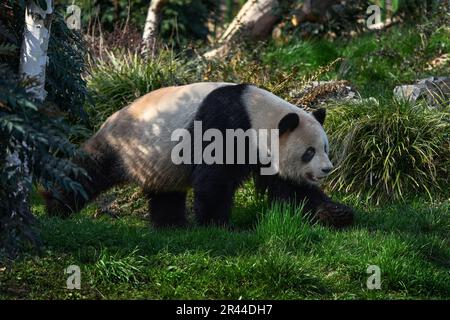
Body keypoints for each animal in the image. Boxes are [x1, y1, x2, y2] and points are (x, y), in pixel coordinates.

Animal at [44, 82, 356, 228]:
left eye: (325, 148)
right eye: (309, 152)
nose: (326, 169)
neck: (257, 113)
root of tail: (108, 119)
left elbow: (290, 187)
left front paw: (337, 213)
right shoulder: (226, 124)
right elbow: (214, 177)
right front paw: (219, 225)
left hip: (159, 162)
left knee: (166, 193)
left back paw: (172, 226)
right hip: (124, 144)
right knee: (88, 171)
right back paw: (54, 206)